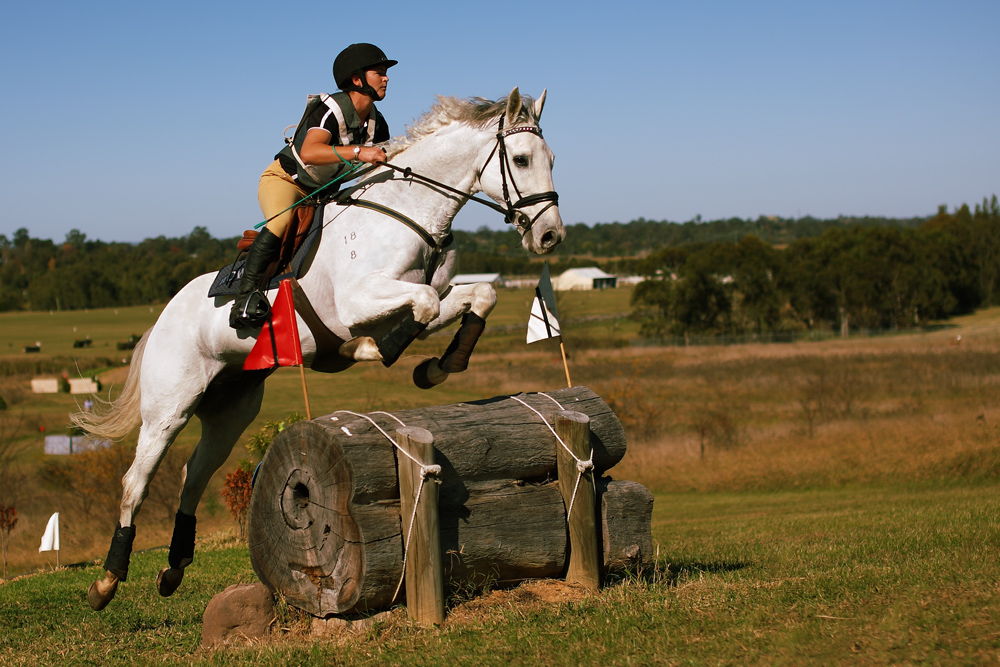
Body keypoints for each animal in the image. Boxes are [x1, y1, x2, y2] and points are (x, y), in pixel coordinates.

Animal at [72, 88, 564, 612]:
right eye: (521, 159)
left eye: (551, 159)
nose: (550, 236)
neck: (409, 210)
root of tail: (162, 317)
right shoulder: (358, 301)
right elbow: (421, 307)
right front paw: (369, 350)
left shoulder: (419, 296)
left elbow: (475, 297)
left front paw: (438, 366)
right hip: (170, 408)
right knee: (135, 482)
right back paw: (107, 581)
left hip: (230, 410)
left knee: (195, 474)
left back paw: (174, 568)